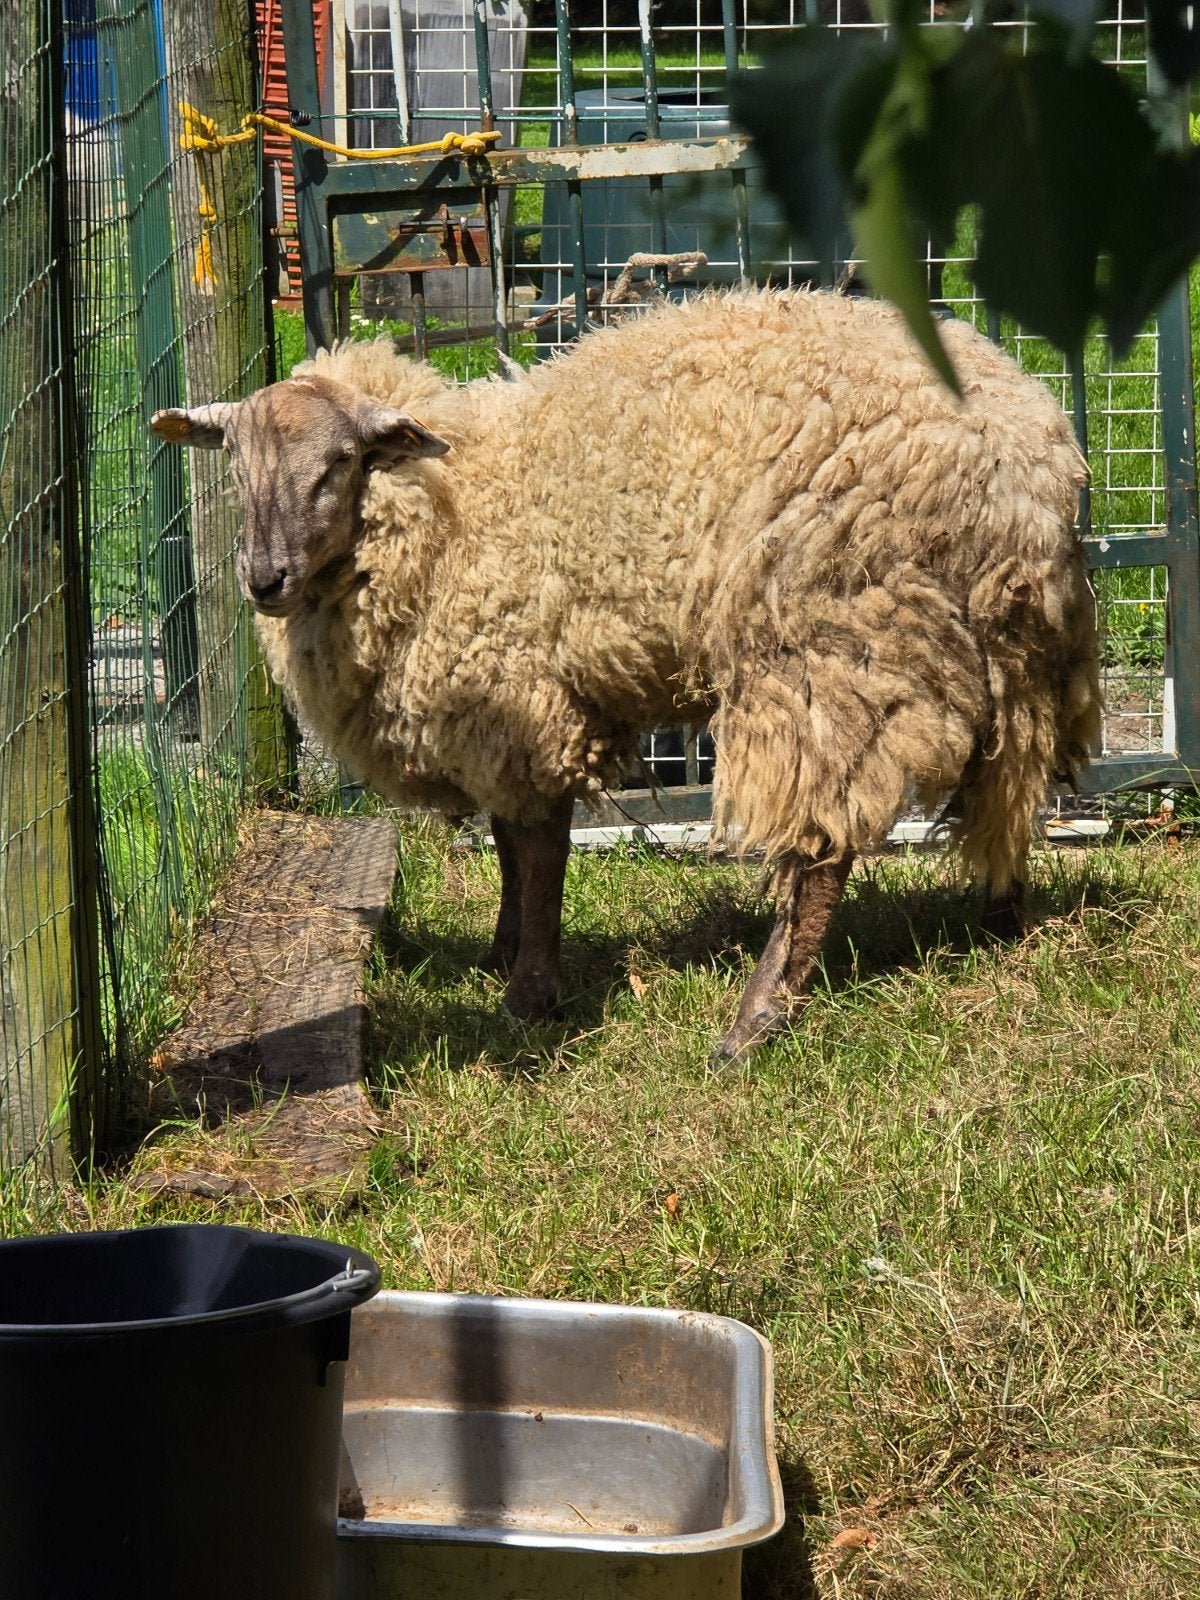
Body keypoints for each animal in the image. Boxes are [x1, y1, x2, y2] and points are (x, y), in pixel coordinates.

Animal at [151, 287, 1101, 1063]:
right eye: (233, 464)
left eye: (339, 464)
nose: (263, 579)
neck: (455, 503)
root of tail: (1031, 458)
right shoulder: (511, 719)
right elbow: (509, 847)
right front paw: (502, 953)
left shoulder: (521, 706)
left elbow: (538, 852)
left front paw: (529, 992)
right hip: (1015, 651)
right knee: (1010, 787)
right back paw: (1001, 924)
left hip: (831, 639)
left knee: (821, 843)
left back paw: (756, 1021)